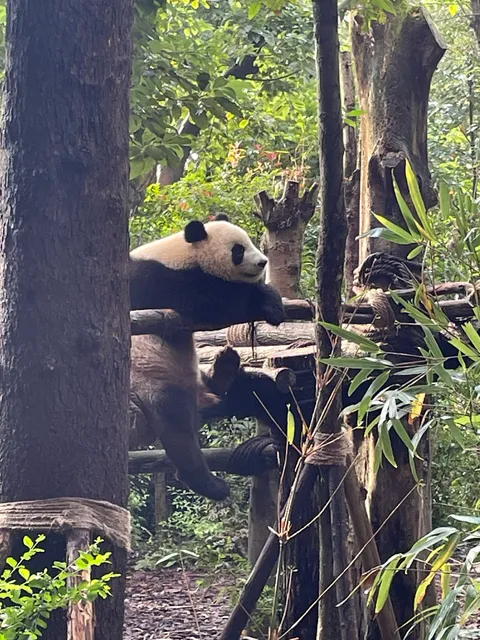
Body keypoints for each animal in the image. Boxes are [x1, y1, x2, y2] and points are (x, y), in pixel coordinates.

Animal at [129, 214, 286, 501]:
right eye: (238, 250)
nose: (263, 262)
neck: (182, 254)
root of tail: (204, 400)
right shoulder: (157, 281)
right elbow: (211, 303)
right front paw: (263, 298)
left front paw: (273, 304)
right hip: (153, 379)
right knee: (178, 426)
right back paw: (211, 485)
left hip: (220, 390)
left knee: (259, 393)